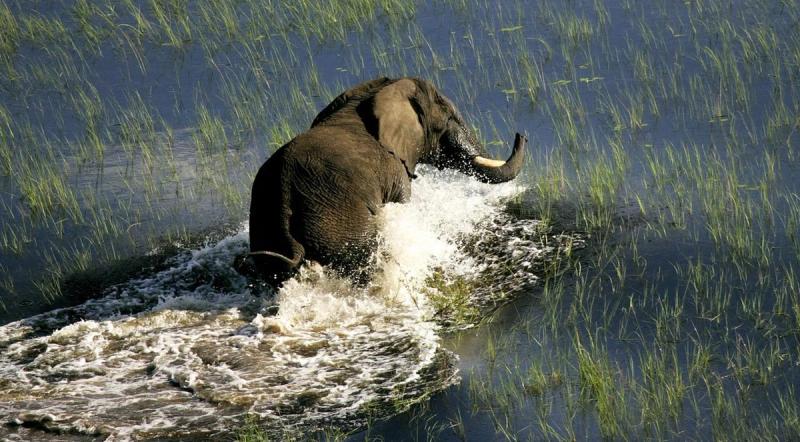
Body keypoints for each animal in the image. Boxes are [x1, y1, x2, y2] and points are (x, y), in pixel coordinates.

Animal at [247, 77, 526, 283]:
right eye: (447, 118)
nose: (520, 134)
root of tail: (284, 196)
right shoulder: (395, 170)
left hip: (266, 228)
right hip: (338, 224)